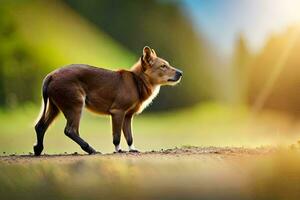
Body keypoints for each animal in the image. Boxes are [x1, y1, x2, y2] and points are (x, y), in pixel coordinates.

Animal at [33, 46, 182, 155]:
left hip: (55, 107)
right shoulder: (117, 112)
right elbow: (117, 136)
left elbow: (129, 136)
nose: (181, 73)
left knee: (40, 126)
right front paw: (119, 150)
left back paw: (38, 149)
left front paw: (132, 149)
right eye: (163, 66)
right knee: (70, 130)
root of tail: (51, 75)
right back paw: (90, 150)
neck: (137, 81)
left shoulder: (128, 116)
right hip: (75, 105)